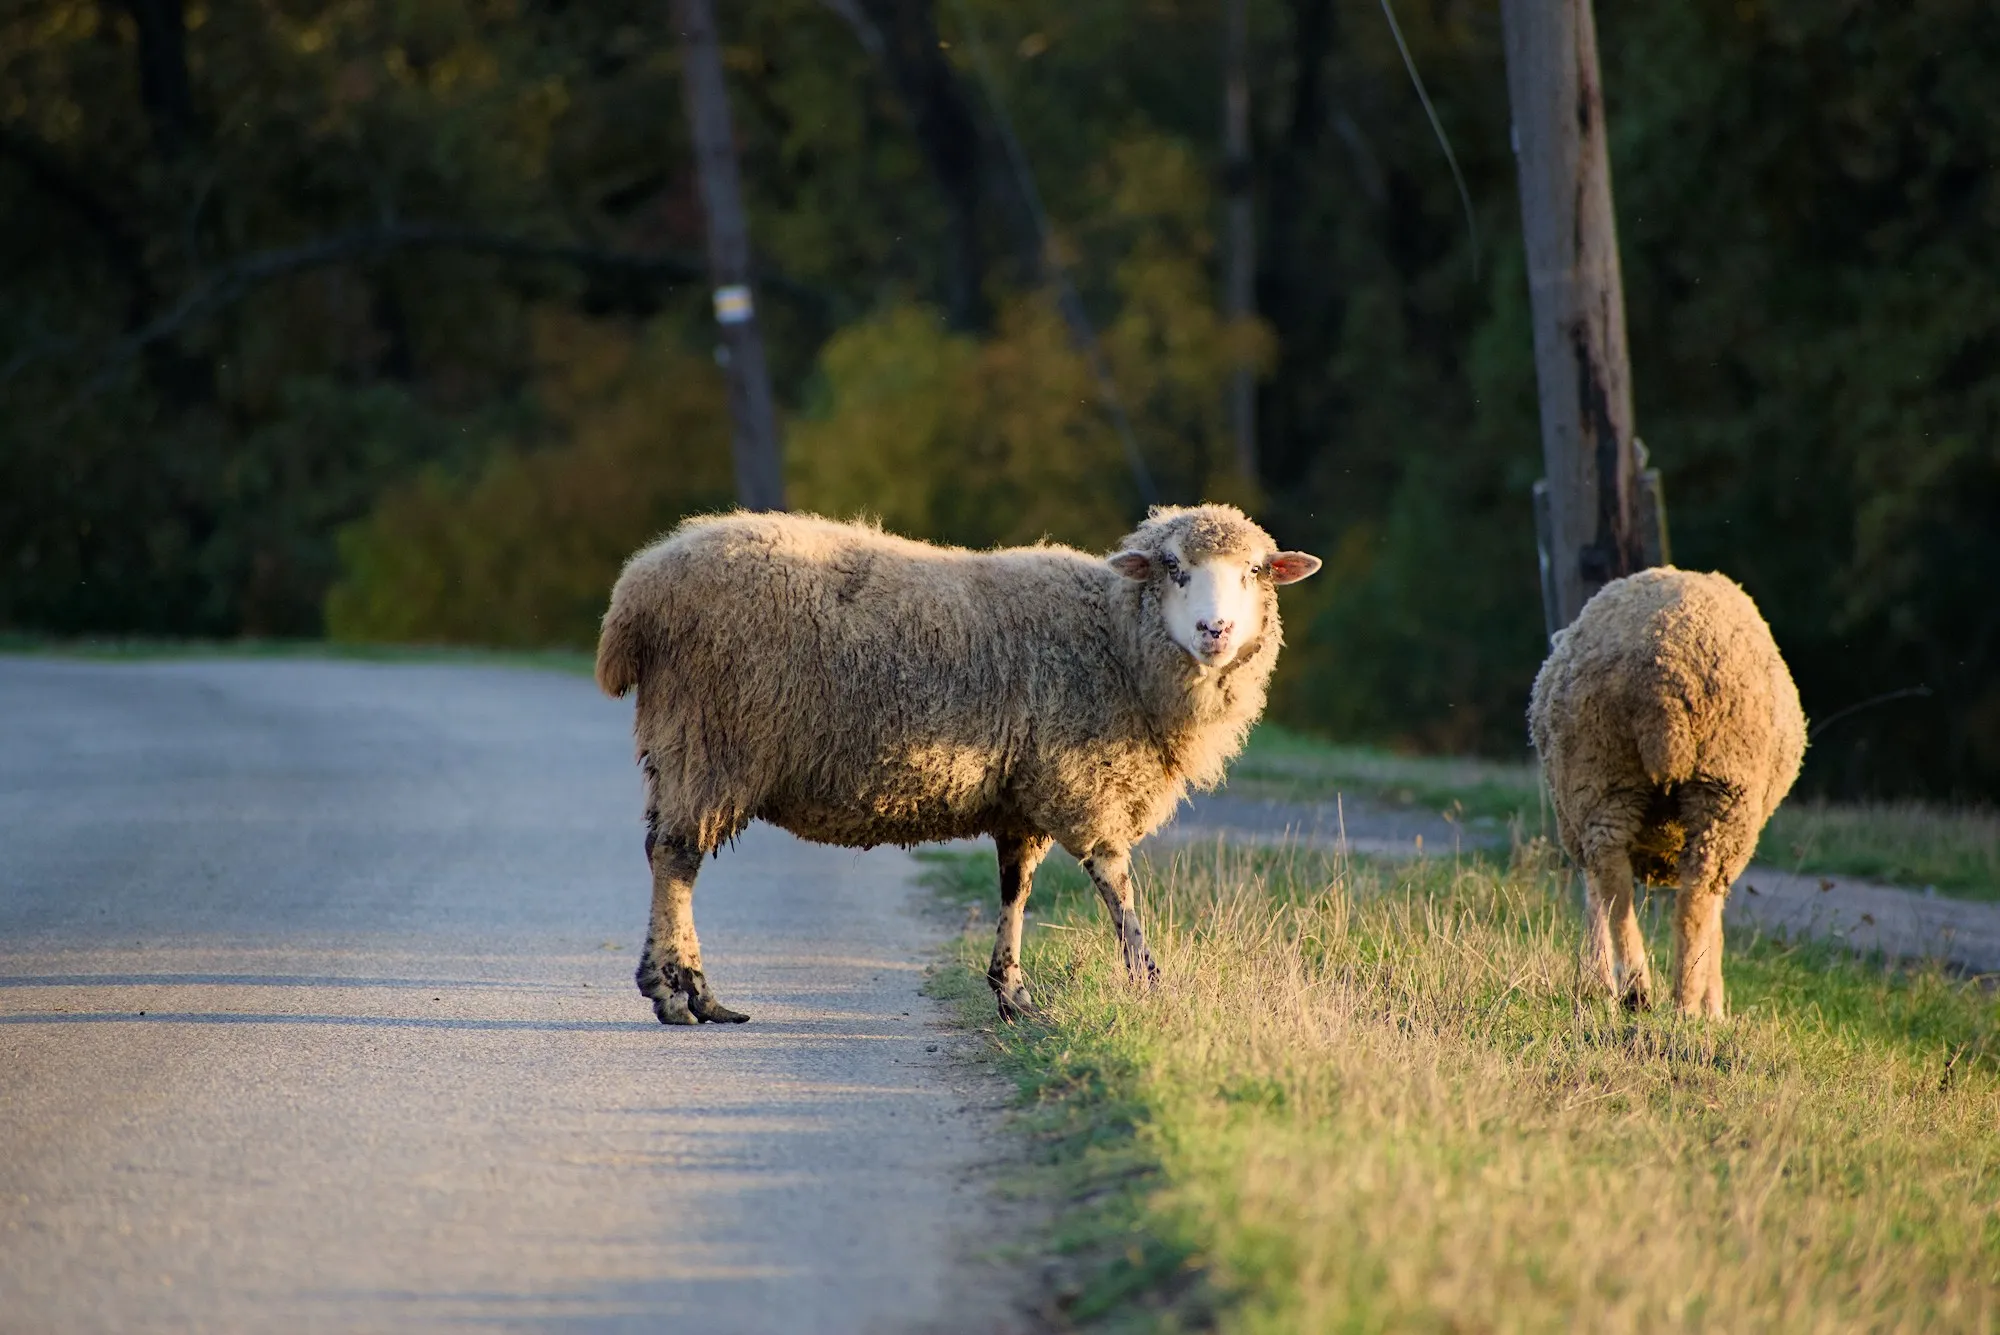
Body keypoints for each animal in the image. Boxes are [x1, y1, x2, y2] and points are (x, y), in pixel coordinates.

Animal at [584, 505, 1320, 1031]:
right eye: (1172, 566)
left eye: (1257, 570)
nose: (1215, 631)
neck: (1114, 640)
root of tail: (637, 591)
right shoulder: (1083, 783)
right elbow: (1118, 887)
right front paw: (1149, 982)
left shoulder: (1025, 794)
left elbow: (1015, 888)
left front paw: (1014, 995)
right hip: (714, 736)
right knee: (678, 857)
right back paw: (686, 994)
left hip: (677, 742)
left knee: (659, 847)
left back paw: (667, 985)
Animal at [1528, 563, 1816, 1011]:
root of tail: (1664, 671)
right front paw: (1713, 1005)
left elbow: (1593, 898)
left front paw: (1595, 981)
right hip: (1724, 787)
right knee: (1693, 895)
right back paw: (1685, 1000)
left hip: (1601, 772)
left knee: (1611, 878)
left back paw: (1637, 988)